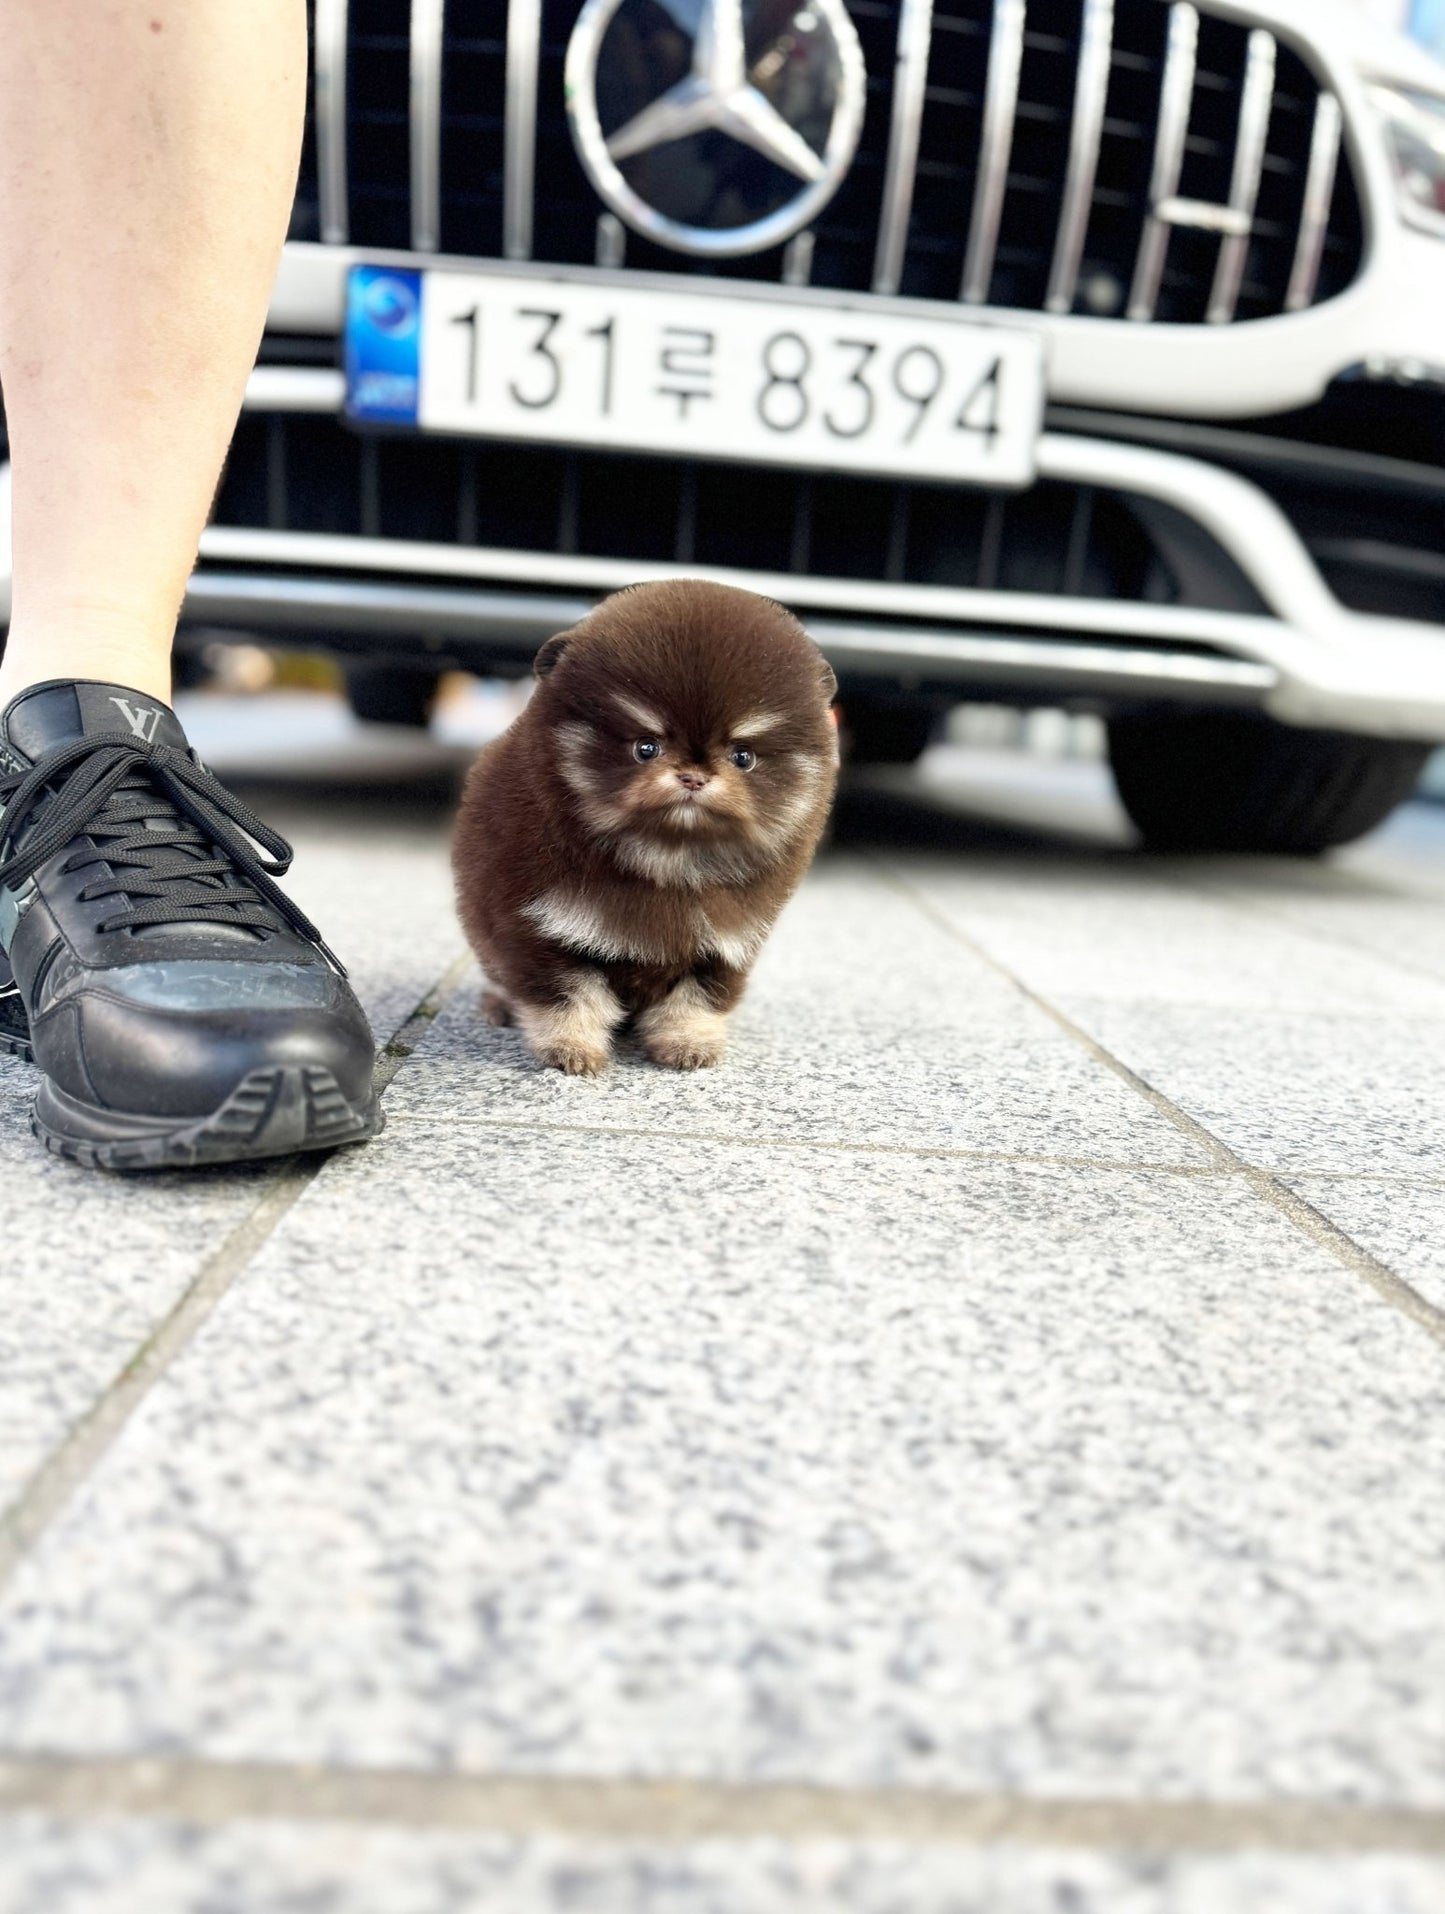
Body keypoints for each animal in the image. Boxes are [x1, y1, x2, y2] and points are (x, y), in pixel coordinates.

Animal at [449, 574, 838, 1071]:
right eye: (646, 747)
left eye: (743, 757)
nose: (693, 776)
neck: (666, 860)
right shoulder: (541, 929)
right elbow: (565, 995)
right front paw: (570, 1048)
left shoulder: (726, 945)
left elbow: (698, 997)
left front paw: (689, 1042)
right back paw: (499, 1003)